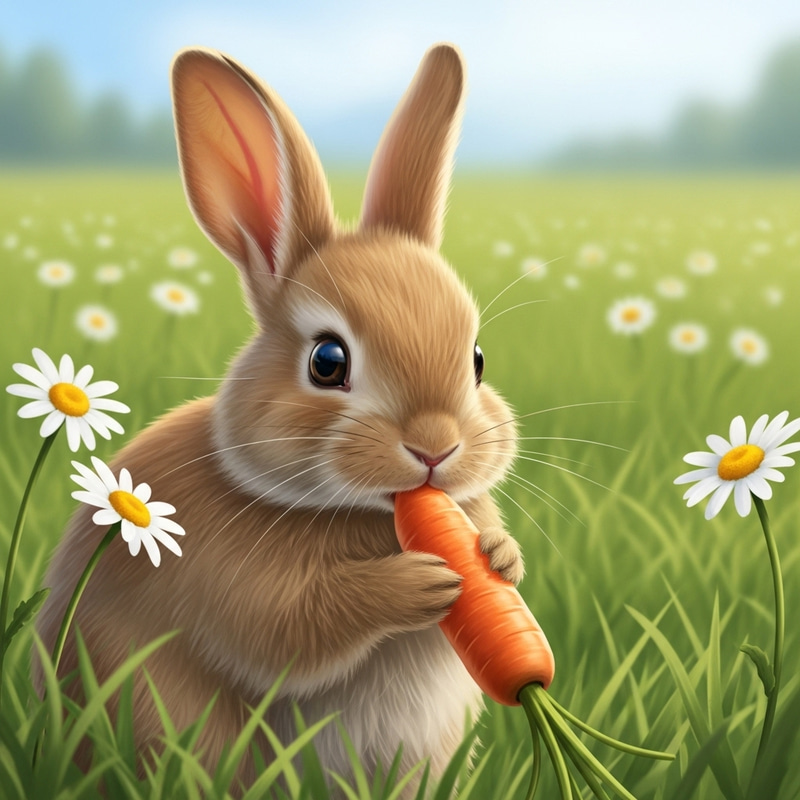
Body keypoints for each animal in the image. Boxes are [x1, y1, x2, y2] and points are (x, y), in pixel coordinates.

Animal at [34, 42, 523, 794]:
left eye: (476, 359)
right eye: (327, 361)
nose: (435, 448)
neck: (368, 513)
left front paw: (497, 556)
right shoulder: (233, 585)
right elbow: (293, 629)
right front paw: (423, 582)